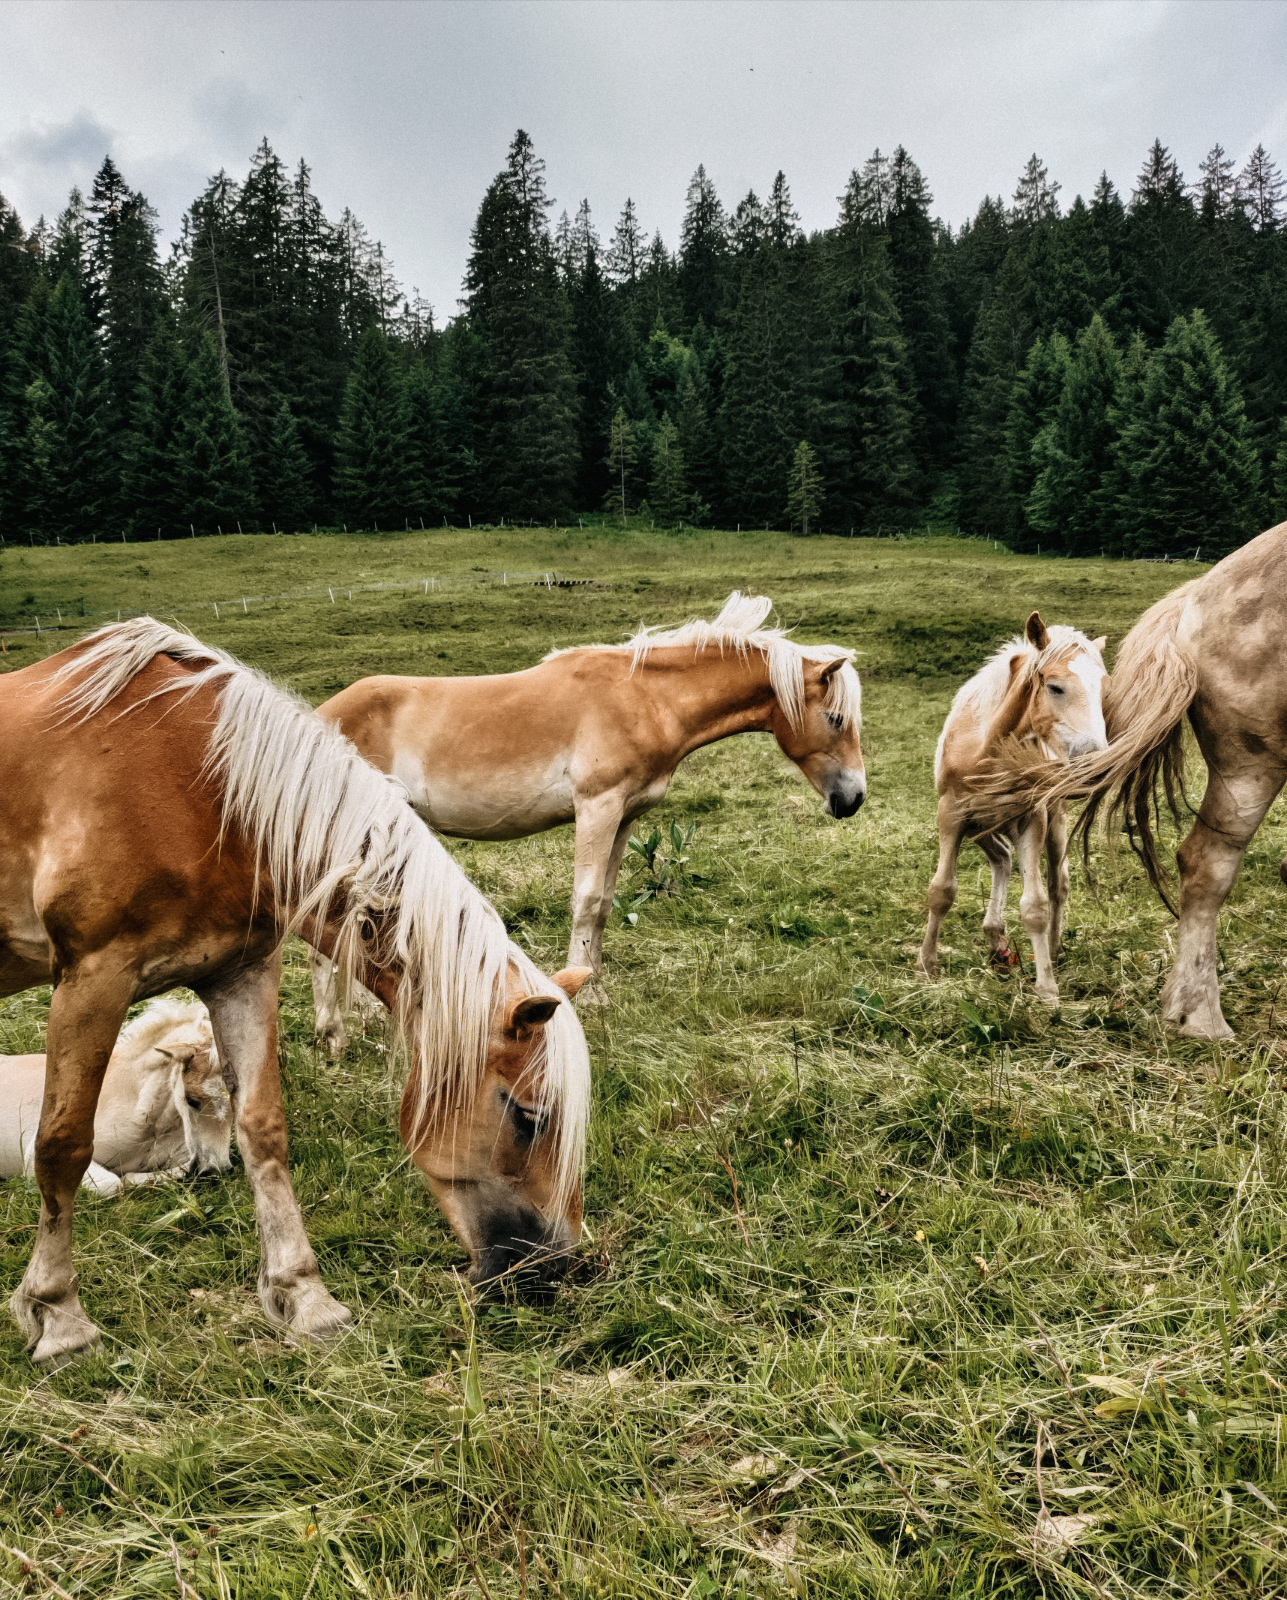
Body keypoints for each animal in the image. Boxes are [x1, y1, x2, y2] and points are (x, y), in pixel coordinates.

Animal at [311, 592, 865, 1045]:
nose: (853, 798)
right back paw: (339, 1028)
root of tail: (319, 716)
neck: (644, 699)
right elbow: (586, 899)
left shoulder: (625, 817)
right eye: (836, 719)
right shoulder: (597, 808)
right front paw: (577, 994)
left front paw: (597, 992)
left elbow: (603, 904)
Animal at [917, 612, 1108, 1005]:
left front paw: (1047, 988)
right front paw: (926, 966)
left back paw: (1052, 947)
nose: (1094, 766)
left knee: (1058, 885)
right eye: (1055, 687)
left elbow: (1035, 906)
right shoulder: (952, 815)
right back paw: (996, 938)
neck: (987, 749)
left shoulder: (1030, 820)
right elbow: (941, 891)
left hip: (1053, 823)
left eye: (1103, 689)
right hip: (982, 827)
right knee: (1002, 859)